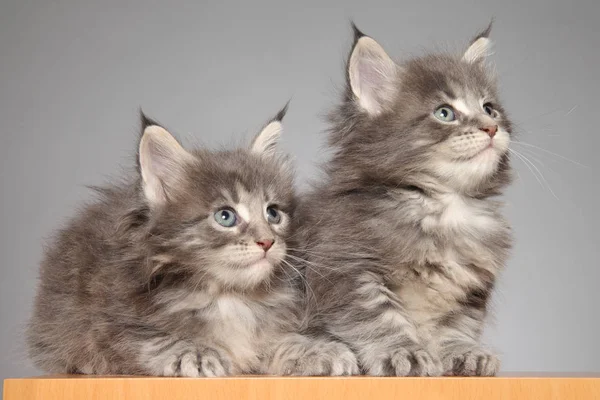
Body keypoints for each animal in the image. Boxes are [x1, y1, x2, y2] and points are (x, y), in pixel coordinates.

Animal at [27, 106, 356, 376]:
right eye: (225, 216)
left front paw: (318, 349)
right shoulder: (109, 326)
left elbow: (282, 340)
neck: (230, 296)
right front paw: (195, 353)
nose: (267, 242)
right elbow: (152, 339)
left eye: (273, 213)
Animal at [302, 23, 512, 376]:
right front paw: (404, 353)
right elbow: (379, 318)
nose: (491, 128)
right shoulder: (346, 269)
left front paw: (464, 352)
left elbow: (457, 326)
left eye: (489, 108)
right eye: (445, 113)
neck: (444, 208)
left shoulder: (472, 288)